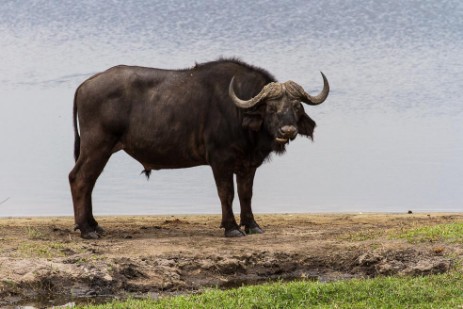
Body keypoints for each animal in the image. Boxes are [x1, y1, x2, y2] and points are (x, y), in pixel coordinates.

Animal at [69, 58, 330, 238]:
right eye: (272, 108)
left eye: (296, 106)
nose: (288, 131)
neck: (238, 113)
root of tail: (84, 85)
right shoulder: (220, 161)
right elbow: (227, 193)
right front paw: (231, 228)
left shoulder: (248, 164)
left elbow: (246, 194)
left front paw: (252, 225)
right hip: (97, 146)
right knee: (79, 178)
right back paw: (86, 229)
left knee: (88, 181)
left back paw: (93, 225)